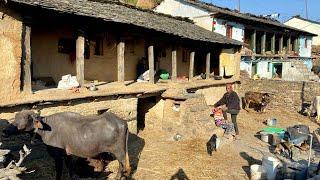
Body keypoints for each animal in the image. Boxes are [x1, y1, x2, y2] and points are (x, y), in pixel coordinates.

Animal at [2, 110, 130, 179]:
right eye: (15, 117)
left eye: (25, 117)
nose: (4, 131)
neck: (46, 129)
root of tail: (123, 122)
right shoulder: (67, 154)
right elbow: (70, 168)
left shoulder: (57, 156)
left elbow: (59, 170)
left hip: (119, 151)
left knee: (122, 164)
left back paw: (118, 177)